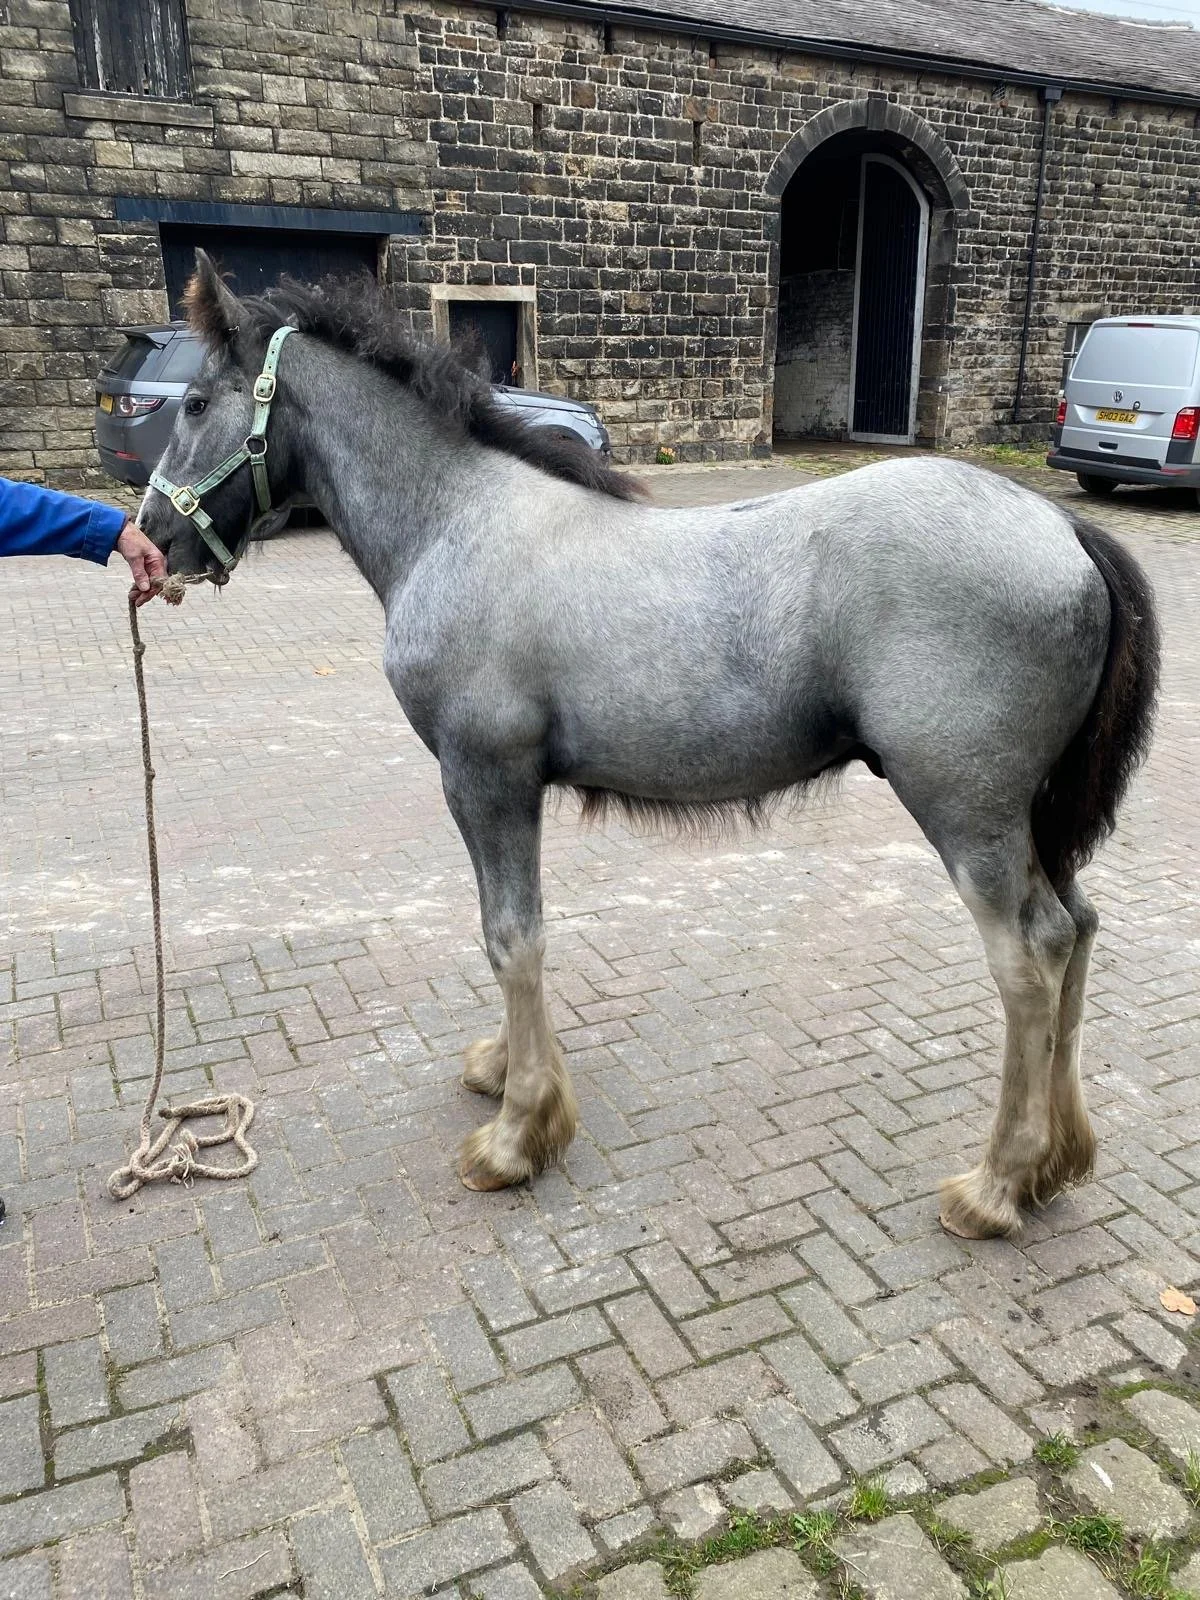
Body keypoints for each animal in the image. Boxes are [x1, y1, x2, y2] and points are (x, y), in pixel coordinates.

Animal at [138, 251, 1159, 1240]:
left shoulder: (485, 778)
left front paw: (517, 1134)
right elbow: (505, 929)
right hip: (1030, 821)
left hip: (967, 812)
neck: (457, 521)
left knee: (1029, 960)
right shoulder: (497, 788)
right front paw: (503, 1068)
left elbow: (511, 935)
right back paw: (1058, 1163)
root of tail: (1064, 527)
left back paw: (997, 1186)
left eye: (193, 404)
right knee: (1077, 928)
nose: (150, 540)